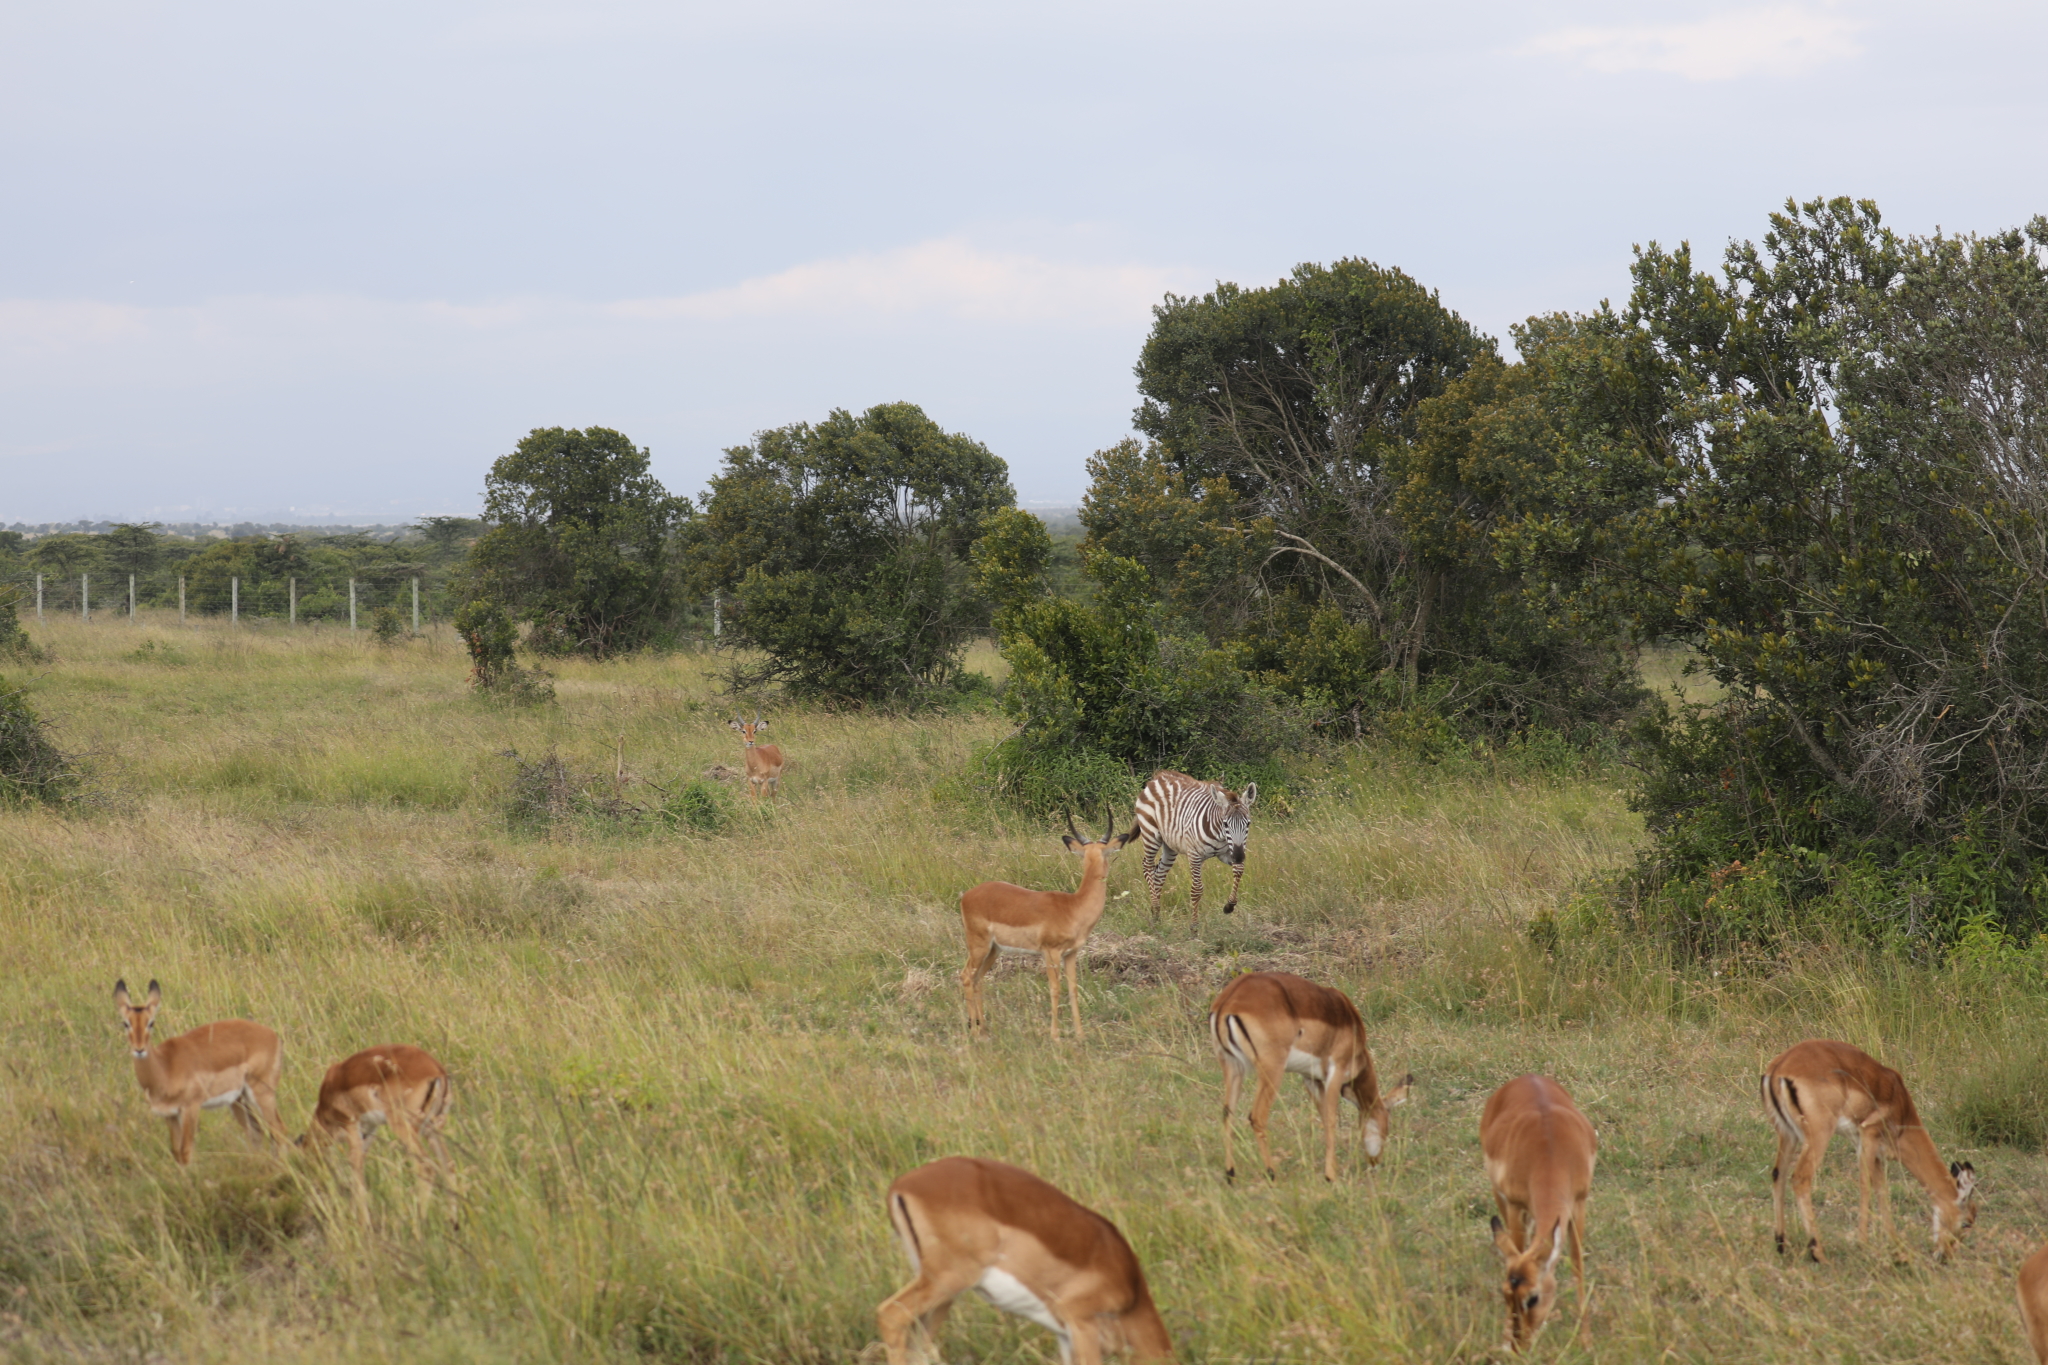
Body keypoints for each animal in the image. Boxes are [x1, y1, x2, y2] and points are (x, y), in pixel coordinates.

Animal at [1130, 773, 1253, 925]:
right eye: (1225, 824)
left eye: (1248, 824)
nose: (1239, 857)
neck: (1219, 835)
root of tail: (1157, 777)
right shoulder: (1195, 855)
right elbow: (1197, 889)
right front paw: (1193, 926)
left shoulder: (1228, 852)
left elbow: (1239, 870)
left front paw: (1229, 905)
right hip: (1150, 833)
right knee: (1147, 865)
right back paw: (1155, 906)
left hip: (1170, 845)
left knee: (1158, 873)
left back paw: (1156, 915)